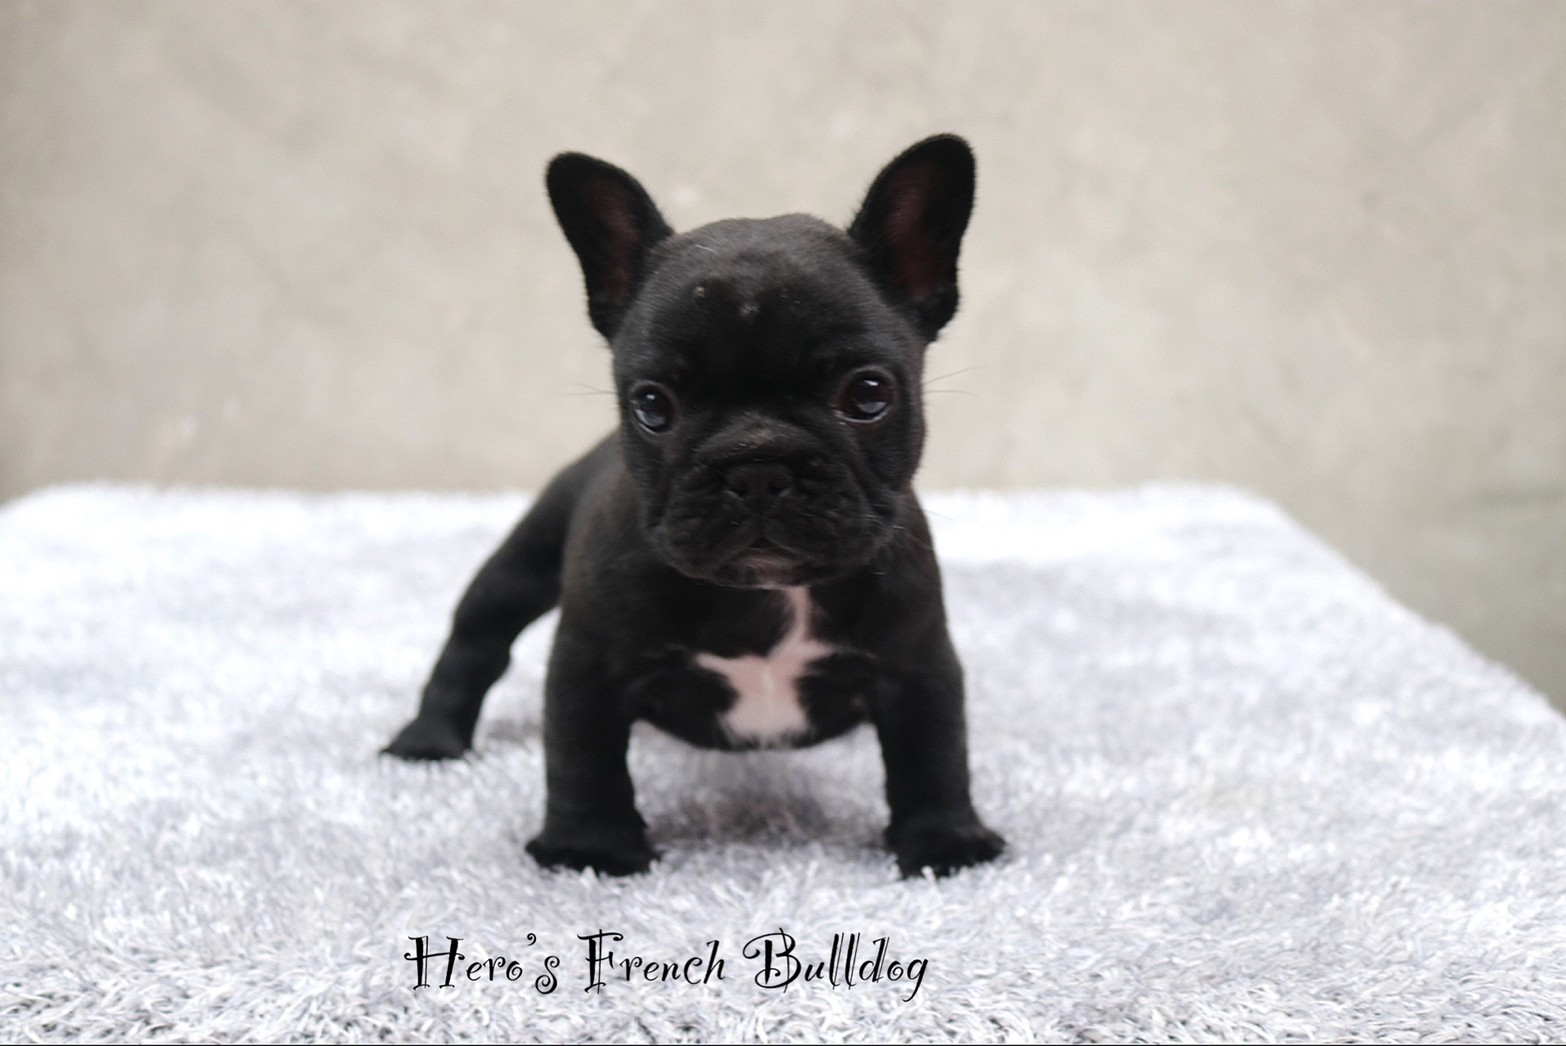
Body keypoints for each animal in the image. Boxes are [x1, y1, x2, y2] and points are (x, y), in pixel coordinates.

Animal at [384, 135, 1005, 878]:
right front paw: (589, 847)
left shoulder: (918, 662)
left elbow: (934, 753)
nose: (759, 466)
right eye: (653, 405)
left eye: (868, 394)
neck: (771, 595)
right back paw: (428, 739)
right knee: (476, 640)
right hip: (521, 565)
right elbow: (583, 757)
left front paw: (946, 842)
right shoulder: (590, 663)